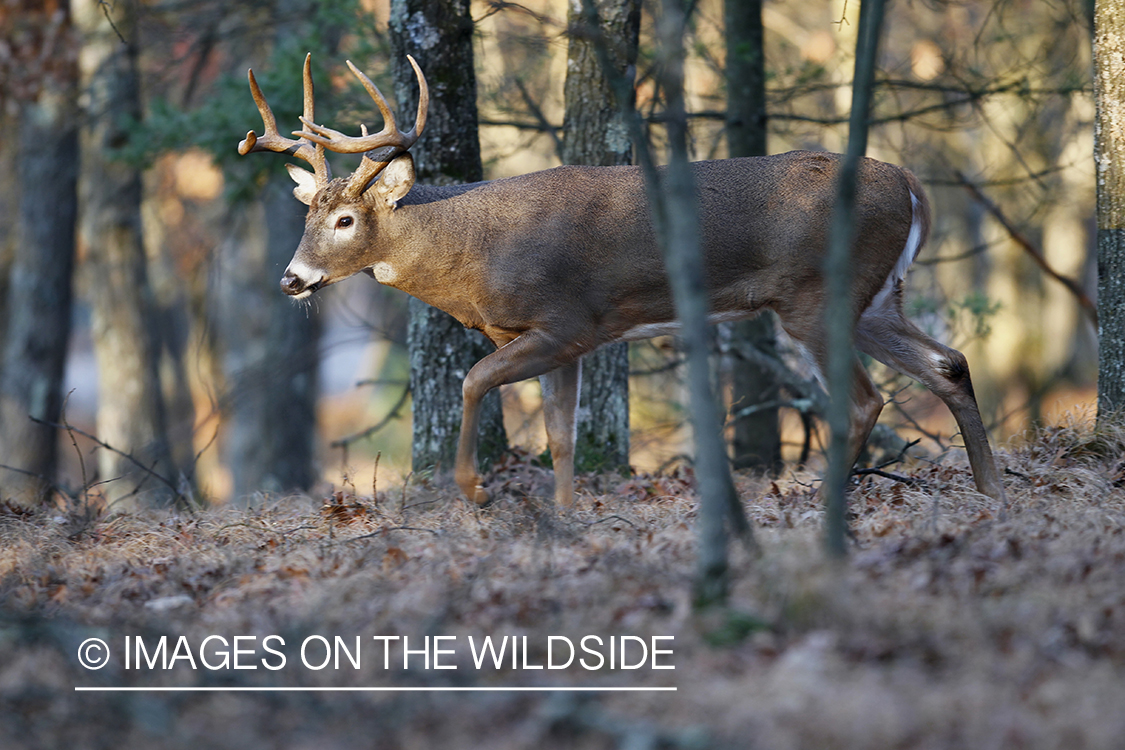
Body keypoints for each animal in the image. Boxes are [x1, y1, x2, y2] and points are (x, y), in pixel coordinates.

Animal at [239, 54, 1012, 510]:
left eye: (344, 219)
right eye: (306, 214)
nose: (291, 279)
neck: (472, 249)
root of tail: (910, 183)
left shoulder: (567, 320)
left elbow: (473, 381)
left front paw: (474, 492)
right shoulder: (559, 340)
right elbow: (561, 436)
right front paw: (564, 520)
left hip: (815, 297)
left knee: (862, 400)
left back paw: (822, 504)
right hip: (875, 298)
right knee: (948, 362)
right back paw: (991, 491)